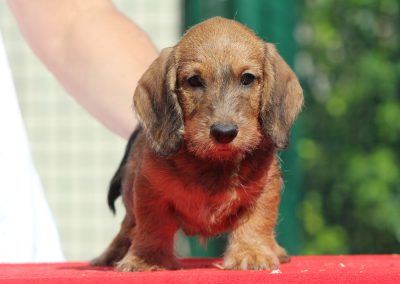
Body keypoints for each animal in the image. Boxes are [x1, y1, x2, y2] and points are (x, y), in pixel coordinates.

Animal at [91, 16, 304, 272]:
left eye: (247, 79)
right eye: (194, 80)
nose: (224, 133)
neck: (214, 164)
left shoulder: (264, 190)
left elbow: (256, 222)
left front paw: (251, 253)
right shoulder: (149, 189)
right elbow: (152, 225)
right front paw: (147, 259)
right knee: (128, 226)